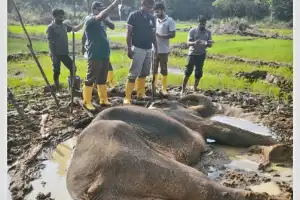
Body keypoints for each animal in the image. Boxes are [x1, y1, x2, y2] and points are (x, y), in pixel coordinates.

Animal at [67, 100, 278, 200]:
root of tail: (89, 189)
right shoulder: (188, 119)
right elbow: (219, 129)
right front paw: (277, 142)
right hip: (131, 160)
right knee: (198, 182)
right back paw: (260, 195)